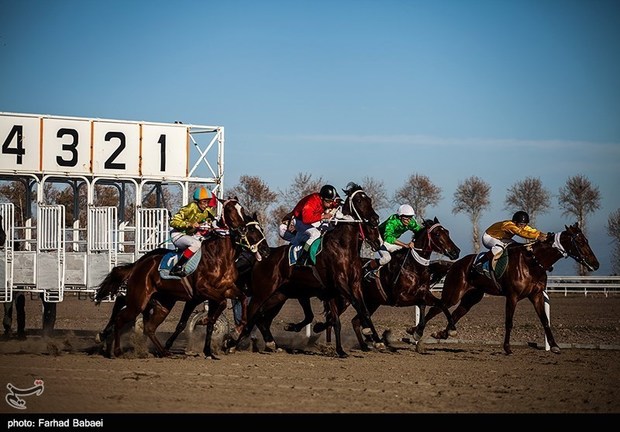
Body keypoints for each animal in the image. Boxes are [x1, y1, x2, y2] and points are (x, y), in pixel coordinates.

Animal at [95, 198, 270, 358]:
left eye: (242, 210)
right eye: (229, 210)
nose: (265, 250)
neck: (220, 257)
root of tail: (139, 264)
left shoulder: (225, 289)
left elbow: (240, 299)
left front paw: (229, 335)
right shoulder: (203, 290)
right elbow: (219, 307)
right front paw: (205, 323)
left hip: (162, 303)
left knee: (148, 327)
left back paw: (164, 352)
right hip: (139, 300)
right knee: (121, 316)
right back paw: (115, 349)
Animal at [225, 182, 386, 358]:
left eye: (369, 199)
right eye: (358, 201)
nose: (375, 219)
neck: (343, 247)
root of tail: (261, 257)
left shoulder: (352, 285)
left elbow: (360, 311)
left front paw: (375, 341)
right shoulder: (340, 284)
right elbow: (354, 307)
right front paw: (366, 331)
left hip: (279, 296)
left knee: (260, 317)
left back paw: (269, 343)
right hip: (262, 292)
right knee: (250, 314)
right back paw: (232, 343)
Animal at [286, 216, 460, 352]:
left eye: (447, 232)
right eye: (437, 234)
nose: (456, 251)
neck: (414, 267)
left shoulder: (424, 292)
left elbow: (439, 304)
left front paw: (445, 330)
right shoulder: (400, 298)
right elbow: (423, 304)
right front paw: (416, 331)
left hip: (371, 302)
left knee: (355, 321)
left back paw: (365, 345)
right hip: (345, 299)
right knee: (332, 317)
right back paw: (322, 334)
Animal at [414, 223, 600, 354]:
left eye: (587, 241)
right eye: (580, 241)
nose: (596, 264)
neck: (533, 262)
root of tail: (455, 264)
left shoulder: (537, 295)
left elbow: (545, 320)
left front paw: (554, 346)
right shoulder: (512, 296)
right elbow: (509, 321)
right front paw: (507, 347)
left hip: (472, 297)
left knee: (456, 313)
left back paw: (442, 333)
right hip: (453, 293)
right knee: (437, 308)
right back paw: (415, 332)